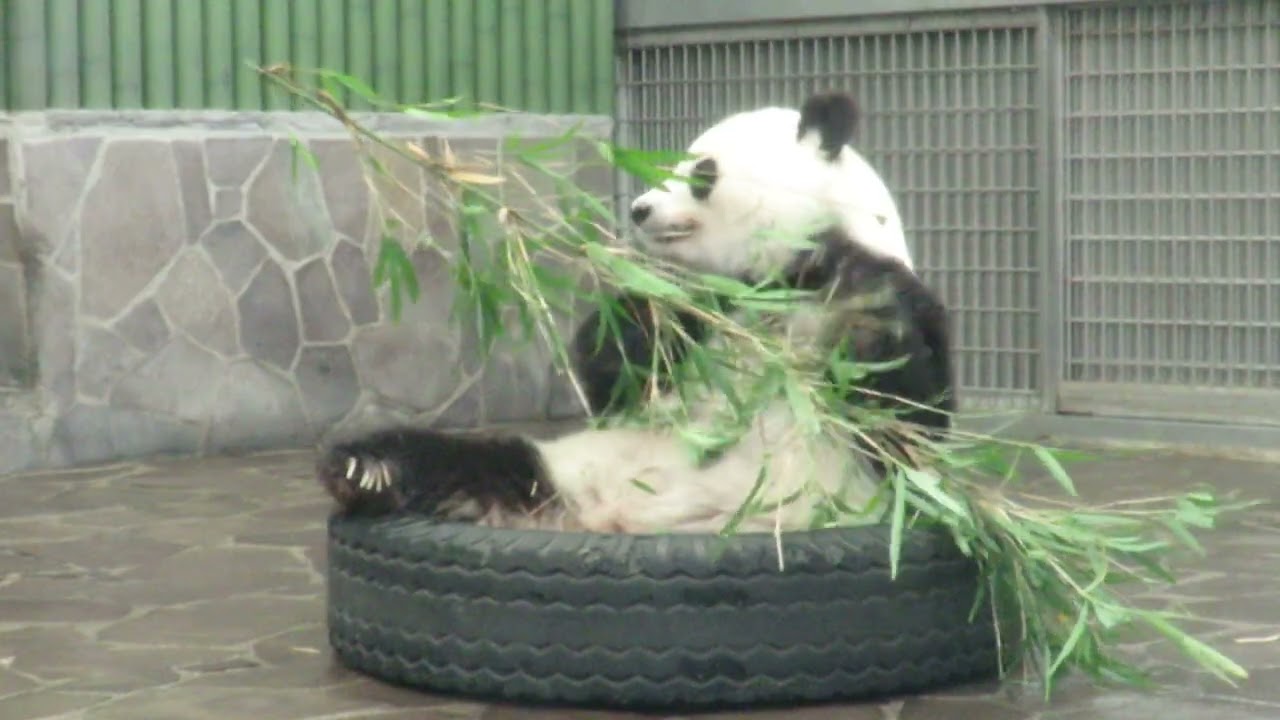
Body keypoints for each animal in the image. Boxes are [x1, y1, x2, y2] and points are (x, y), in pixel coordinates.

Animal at [317, 91, 954, 535]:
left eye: (702, 171)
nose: (642, 210)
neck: (771, 279)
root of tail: (614, 521)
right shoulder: (703, 305)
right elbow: (615, 366)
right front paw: (643, 320)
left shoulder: (868, 286)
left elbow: (910, 419)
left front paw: (868, 342)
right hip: (568, 468)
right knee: (464, 460)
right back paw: (366, 469)